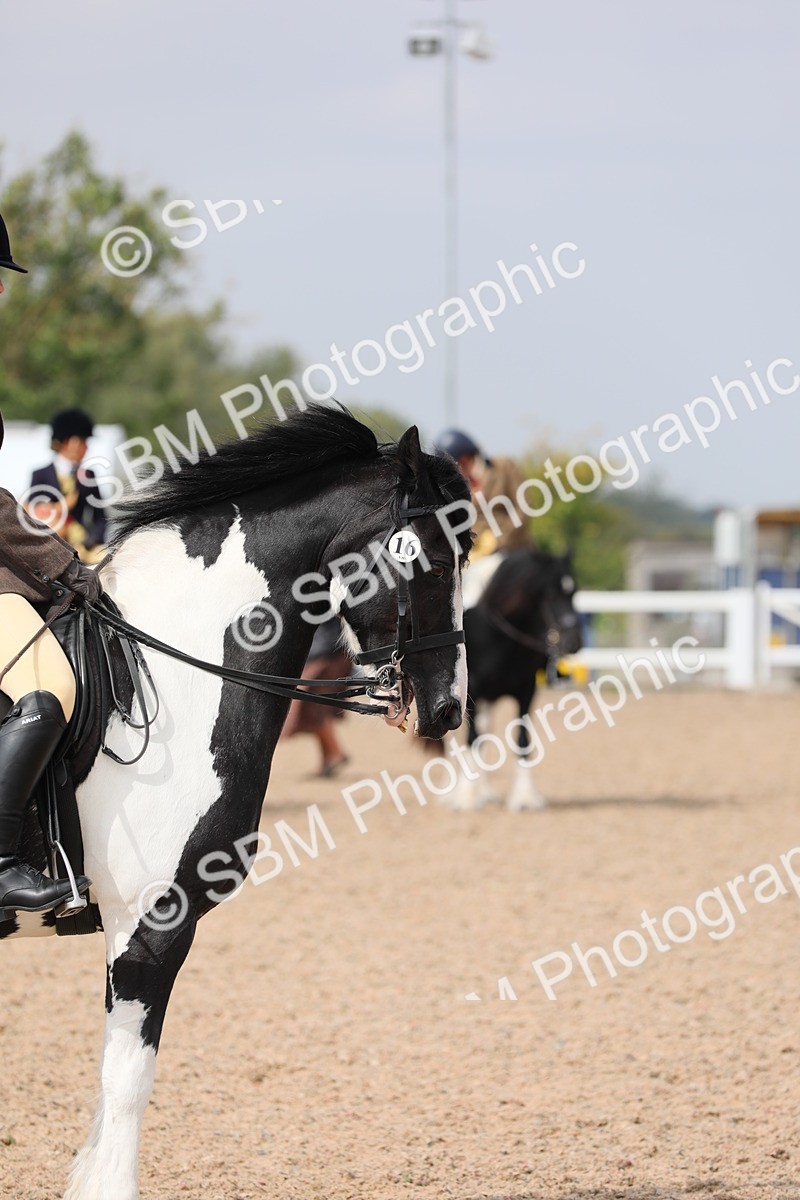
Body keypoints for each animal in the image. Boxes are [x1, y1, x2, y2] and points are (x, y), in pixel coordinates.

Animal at [450, 549, 583, 811]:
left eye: (573, 592)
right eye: (550, 594)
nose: (573, 642)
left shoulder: (526, 691)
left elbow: (522, 739)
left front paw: (524, 796)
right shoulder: (472, 692)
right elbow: (471, 738)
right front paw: (467, 796)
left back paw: (484, 790)